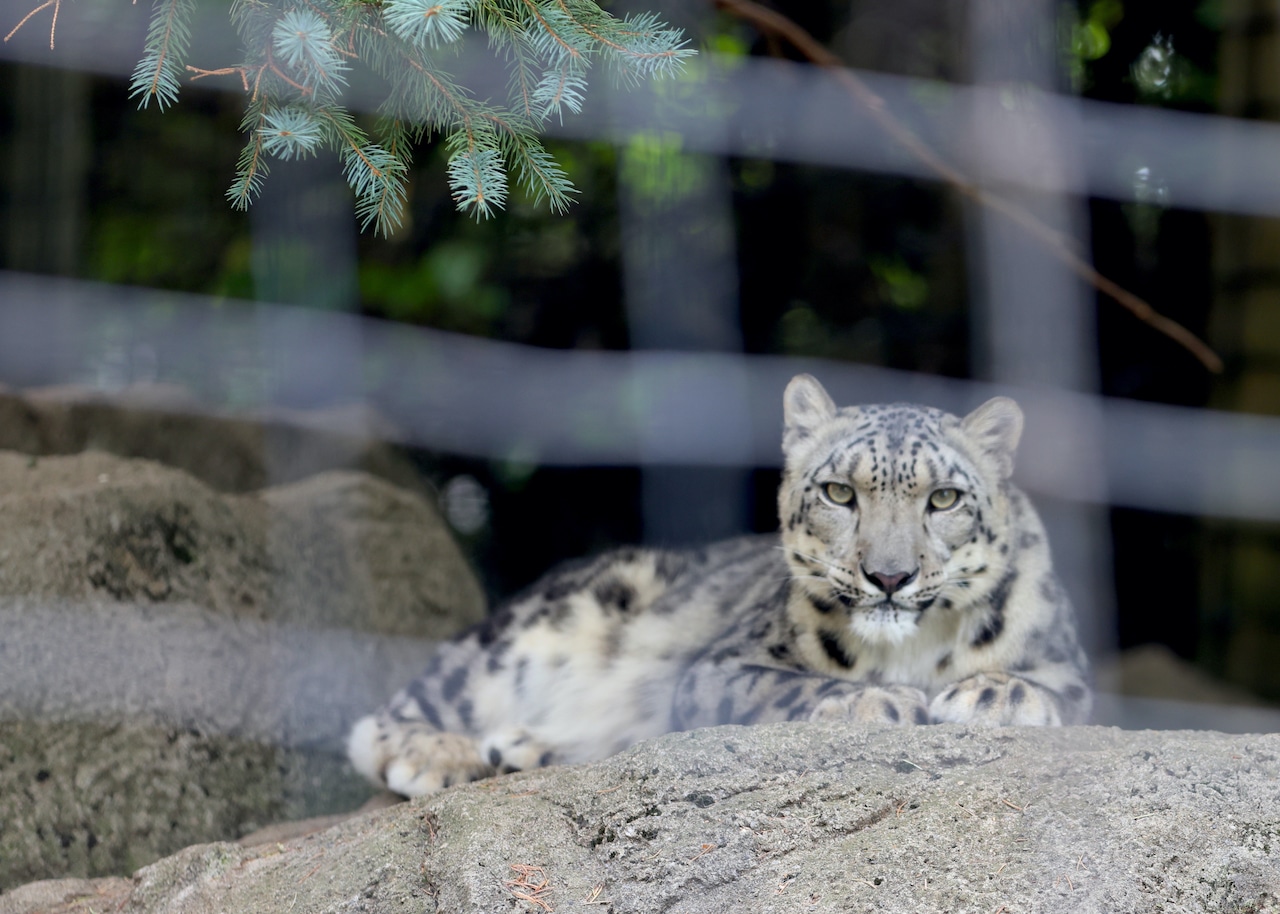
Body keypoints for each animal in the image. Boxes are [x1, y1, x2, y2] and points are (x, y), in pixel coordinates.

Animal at [348, 373, 1091, 796]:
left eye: (943, 499)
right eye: (839, 491)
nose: (888, 575)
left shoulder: (1066, 665)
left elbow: (1059, 693)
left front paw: (994, 693)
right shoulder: (724, 666)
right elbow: (785, 687)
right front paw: (872, 700)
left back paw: (528, 747)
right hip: (547, 626)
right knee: (396, 708)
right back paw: (444, 755)